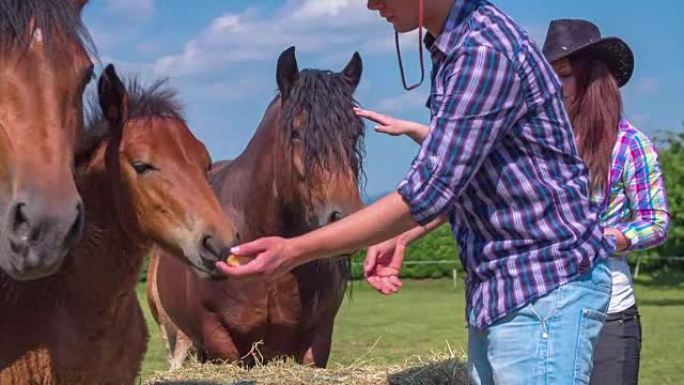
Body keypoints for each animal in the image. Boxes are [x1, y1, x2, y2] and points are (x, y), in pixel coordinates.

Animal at [148, 46, 366, 368]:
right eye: (295, 132)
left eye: (356, 132)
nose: (344, 217)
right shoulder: (221, 340)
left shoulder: (318, 339)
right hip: (177, 338)